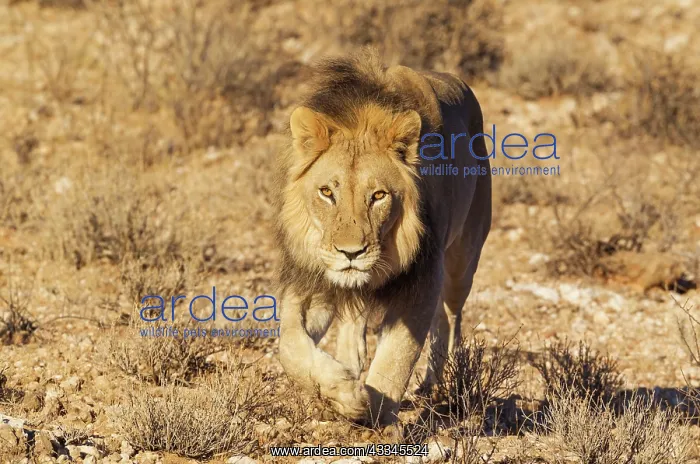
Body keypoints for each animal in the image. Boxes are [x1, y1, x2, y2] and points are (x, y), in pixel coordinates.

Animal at [273, 51, 492, 425]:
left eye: (378, 196)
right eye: (327, 192)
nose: (351, 253)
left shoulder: (421, 282)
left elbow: (395, 360)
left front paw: (374, 414)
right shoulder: (312, 283)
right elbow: (289, 345)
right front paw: (345, 391)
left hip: (462, 263)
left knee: (451, 318)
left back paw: (437, 385)